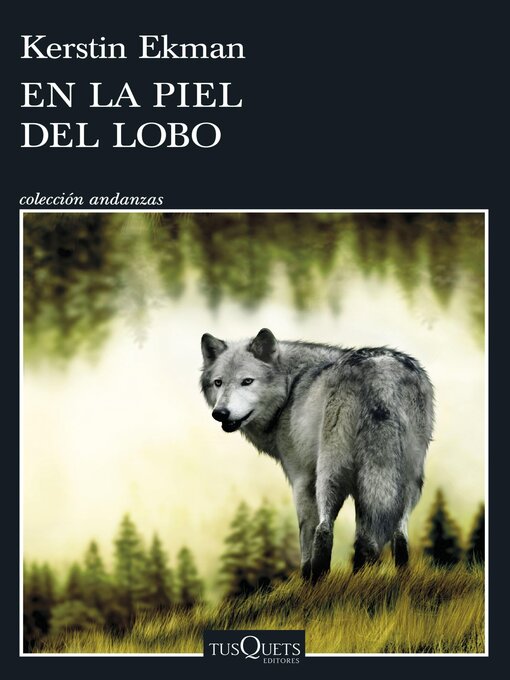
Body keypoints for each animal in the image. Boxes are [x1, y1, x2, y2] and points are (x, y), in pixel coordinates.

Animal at [200, 328, 434, 582]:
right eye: (218, 383)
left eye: (247, 381)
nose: (220, 413)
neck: (290, 389)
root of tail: (382, 374)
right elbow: (364, 535)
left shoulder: (301, 479)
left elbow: (306, 540)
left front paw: (306, 578)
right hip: (408, 480)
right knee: (397, 534)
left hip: (329, 474)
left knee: (324, 529)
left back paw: (318, 582)